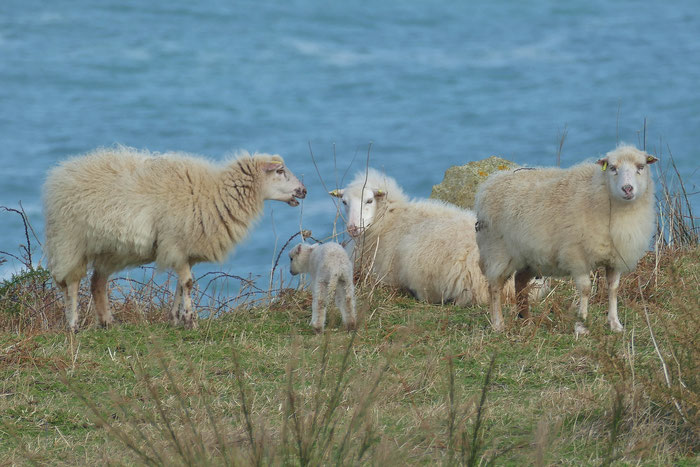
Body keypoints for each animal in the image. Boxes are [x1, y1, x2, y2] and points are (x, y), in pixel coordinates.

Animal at [43, 145, 307, 332]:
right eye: (280, 171)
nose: (304, 191)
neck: (214, 194)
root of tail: (61, 173)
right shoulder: (176, 245)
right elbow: (188, 283)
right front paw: (190, 321)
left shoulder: (185, 250)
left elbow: (181, 284)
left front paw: (175, 319)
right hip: (70, 241)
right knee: (72, 284)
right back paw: (73, 325)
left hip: (108, 250)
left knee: (97, 282)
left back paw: (108, 322)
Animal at [474, 145, 658, 335]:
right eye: (613, 168)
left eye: (641, 166)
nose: (627, 189)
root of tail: (491, 181)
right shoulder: (577, 255)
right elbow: (585, 289)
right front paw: (582, 322)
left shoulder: (615, 258)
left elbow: (613, 289)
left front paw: (615, 324)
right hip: (497, 251)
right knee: (495, 287)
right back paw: (498, 324)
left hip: (529, 258)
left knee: (520, 282)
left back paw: (526, 320)